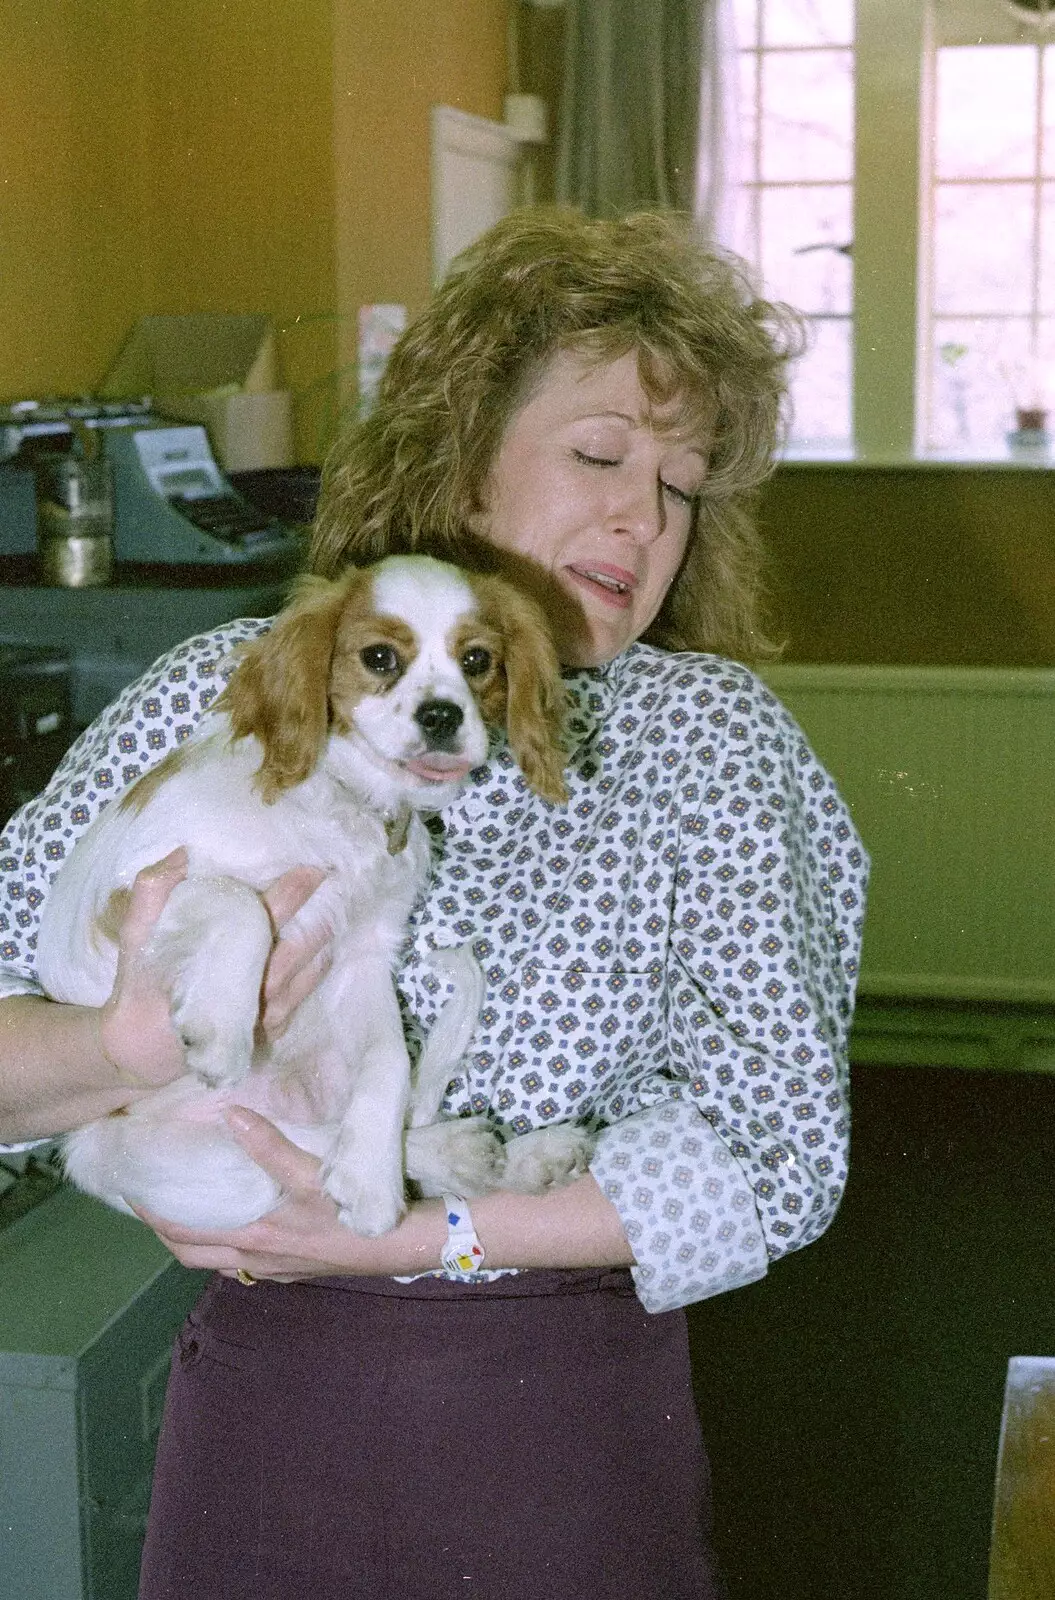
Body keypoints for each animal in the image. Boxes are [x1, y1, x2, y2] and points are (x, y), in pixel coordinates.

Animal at [35, 560, 585, 1235]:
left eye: (478, 659)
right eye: (379, 657)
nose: (441, 716)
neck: (350, 802)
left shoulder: (366, 955)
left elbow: (390, 1062)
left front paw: (370, 1176)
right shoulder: (123, 903)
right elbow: (238, 902)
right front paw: (221, 1031)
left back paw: (513, 1156)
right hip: (208, 1170)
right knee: (290, 1142)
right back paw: (470, 1151)